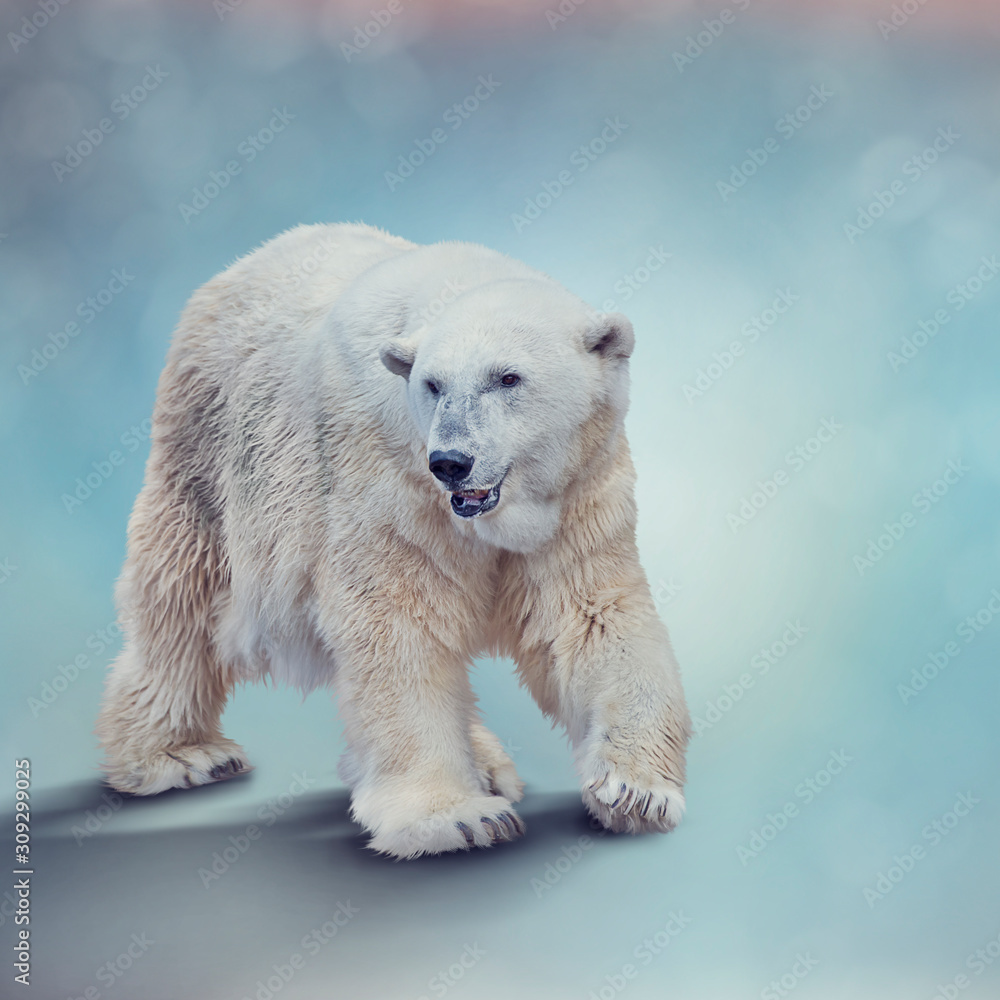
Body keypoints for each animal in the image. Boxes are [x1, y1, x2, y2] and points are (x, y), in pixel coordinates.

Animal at [97, 223, 692, 856]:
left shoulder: (579, 494)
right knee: (183, 588)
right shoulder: (385, 475)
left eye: (508, 377)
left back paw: (488, 763)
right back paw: (179, 755)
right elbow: (398, 623)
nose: (451, 462)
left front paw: (635, 791)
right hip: (212, 448)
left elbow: (591, 617)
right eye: (432, 384)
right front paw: (457, 818)